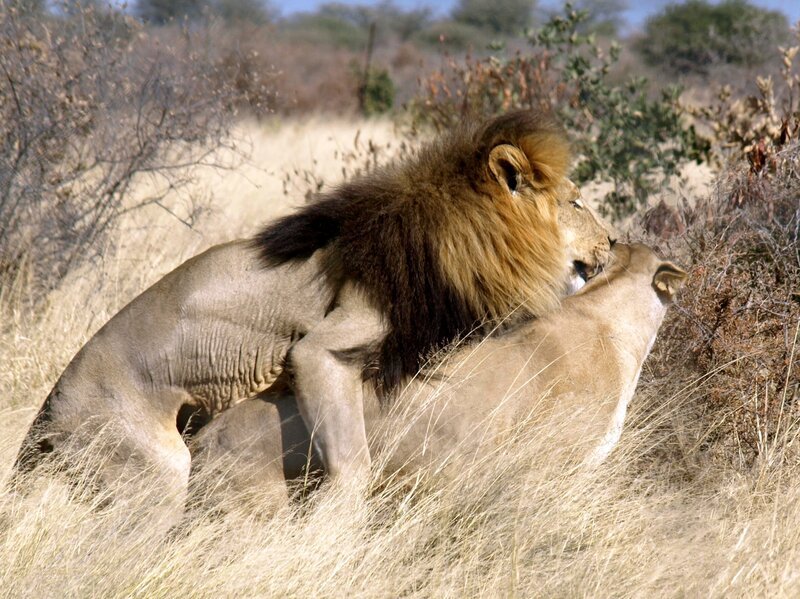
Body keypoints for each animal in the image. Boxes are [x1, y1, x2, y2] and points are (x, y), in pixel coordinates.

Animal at [12, 111, 612, 529]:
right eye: (577, 203)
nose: (612, 242)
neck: (451, 239)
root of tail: (44, 418)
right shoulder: (322, 346)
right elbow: (352, 458)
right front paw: (336, 520)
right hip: (145, 463)